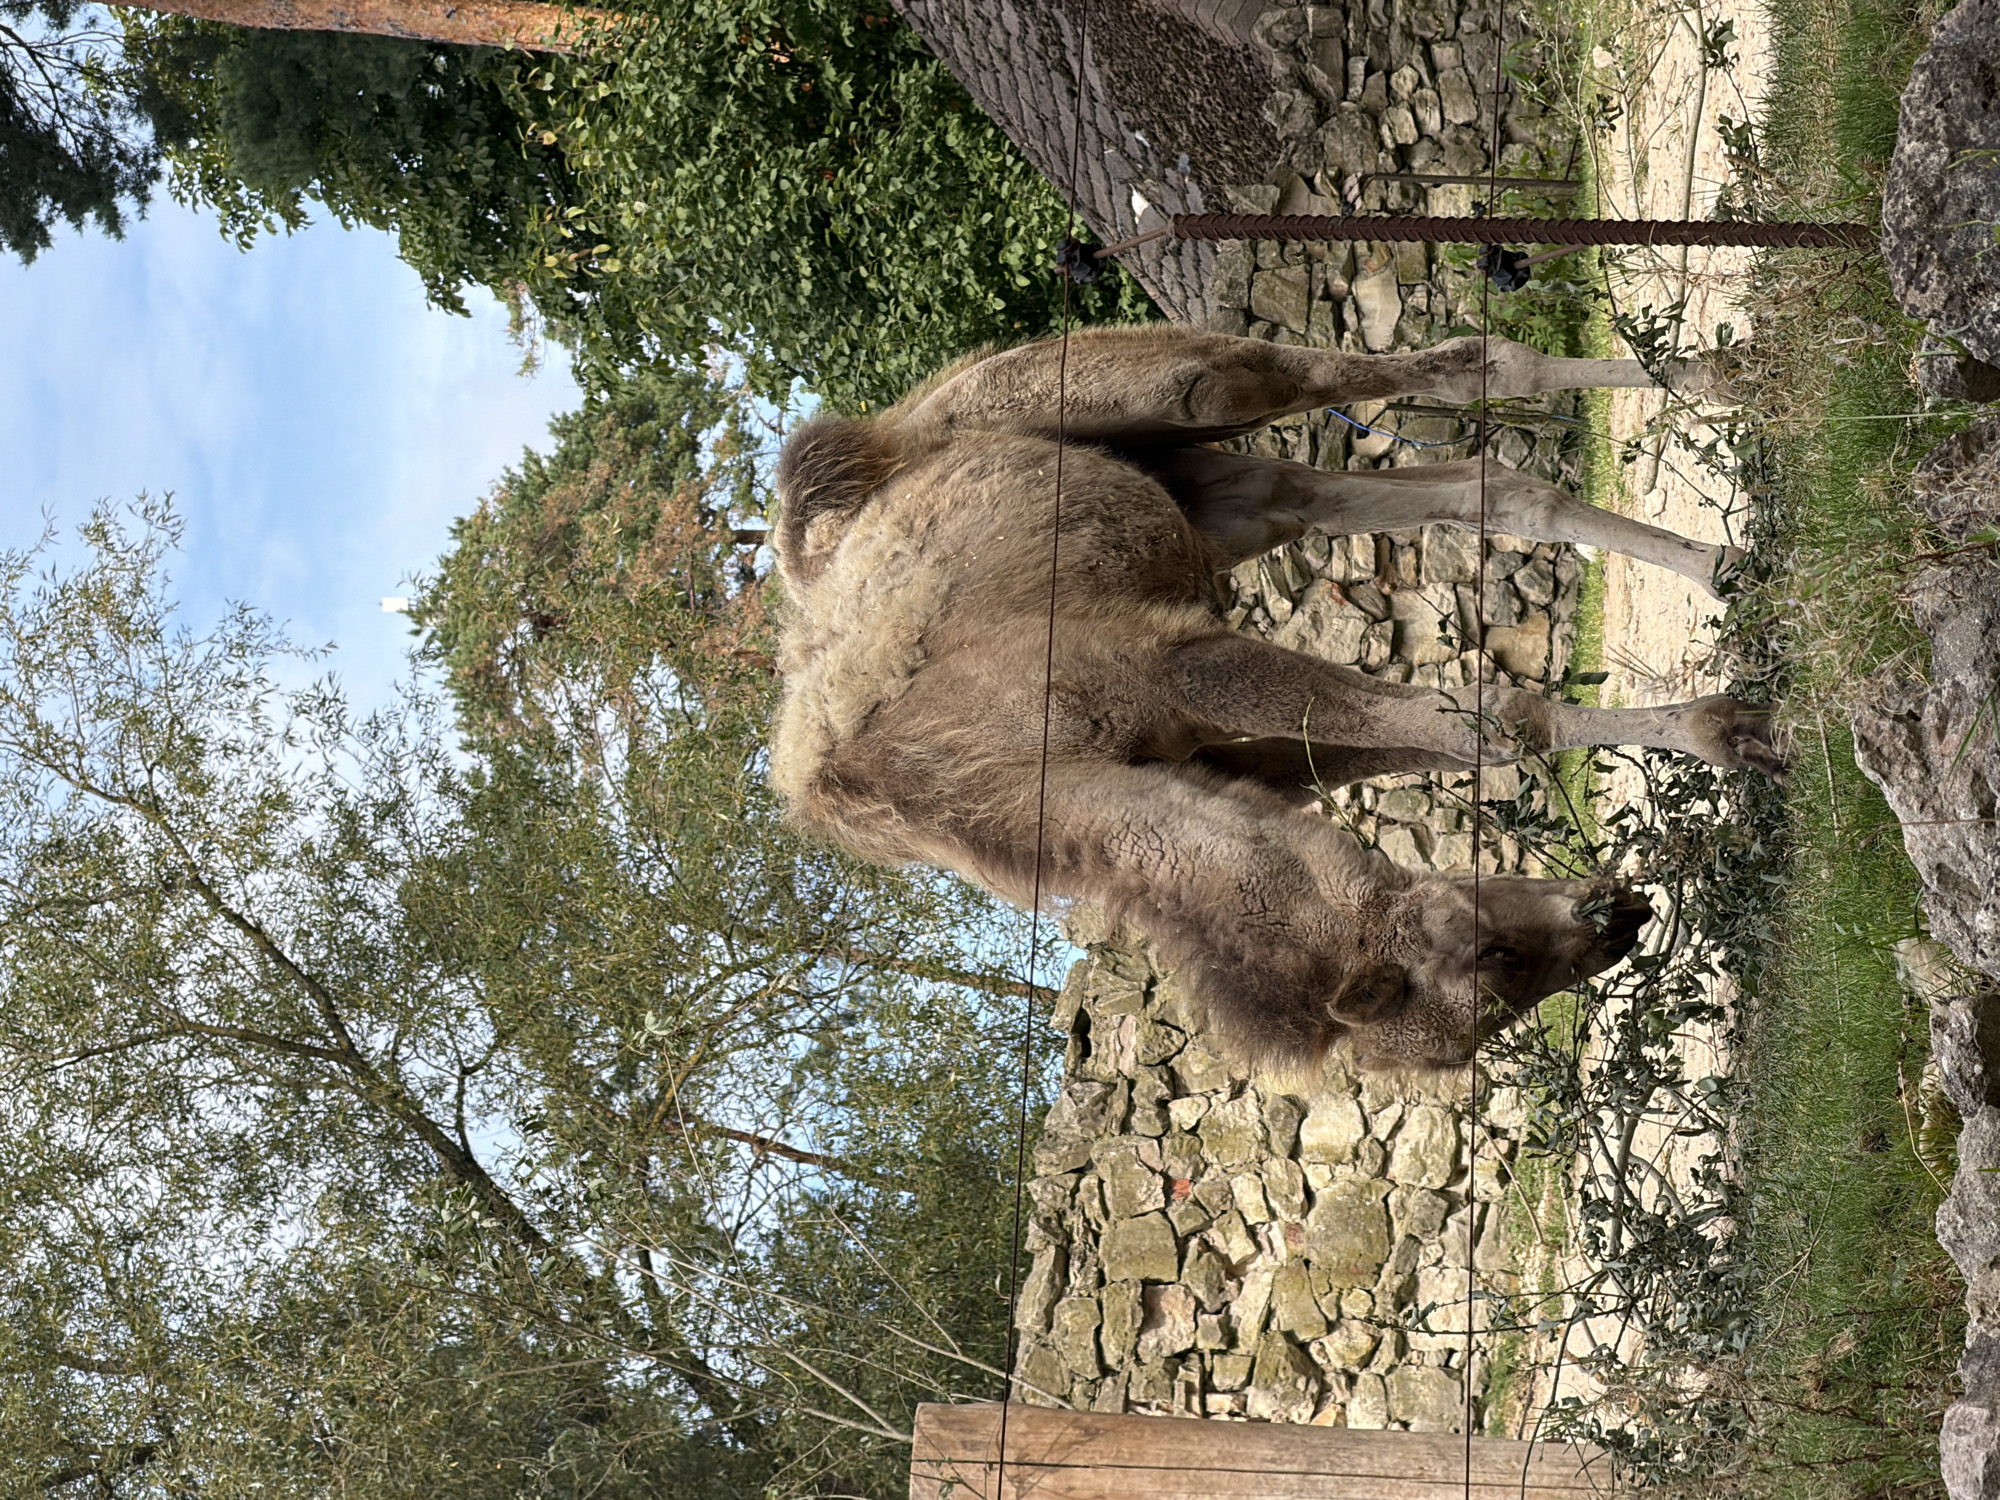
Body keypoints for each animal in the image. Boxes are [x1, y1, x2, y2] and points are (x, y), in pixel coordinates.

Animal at [767, 325, 1781, 1071]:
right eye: (1497, 973)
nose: (1618, 917)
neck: (1014, 790)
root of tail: (898, 430)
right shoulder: (1219, 758)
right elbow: (1430, 741)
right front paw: (1727, 719)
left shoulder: (1161, 662)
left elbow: (1493, 722)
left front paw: (1732, 726)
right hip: (1214, 501)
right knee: (1461, 481)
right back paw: (1725, 557)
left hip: (1164, 394)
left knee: (1418, 369)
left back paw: (1727, 381)